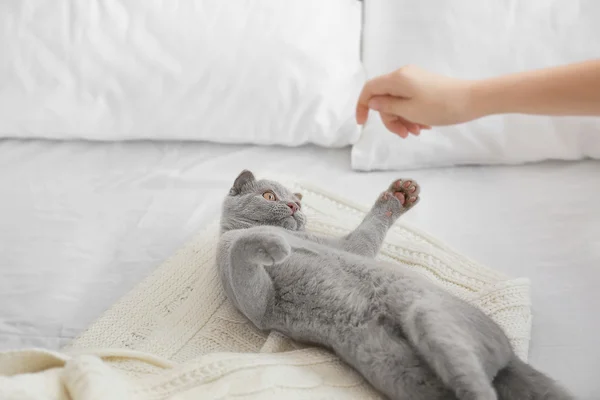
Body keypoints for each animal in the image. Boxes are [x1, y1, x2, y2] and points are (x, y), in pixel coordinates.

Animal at [216, 170, 572, 400]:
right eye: (269, 196)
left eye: (299, 205)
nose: (293, 207)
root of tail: (512, 355)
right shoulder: (260, 303)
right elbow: (240, 247)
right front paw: (273, 242)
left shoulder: (350, 247)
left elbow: (367, 233)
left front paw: (399, 195)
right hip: (410, 367)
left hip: (431, 318)